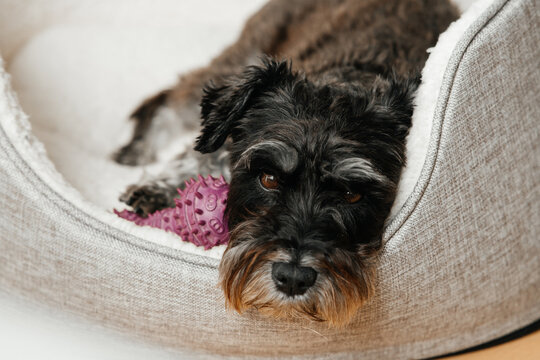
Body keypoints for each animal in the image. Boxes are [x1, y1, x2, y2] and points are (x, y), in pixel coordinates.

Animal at [116, 0, 458, 326]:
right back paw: (135, 153)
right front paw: (158, 188)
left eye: (352, 194)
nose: (293, 279)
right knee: (169, 103)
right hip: (241, 56)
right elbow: (201, 155)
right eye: (268, 178)